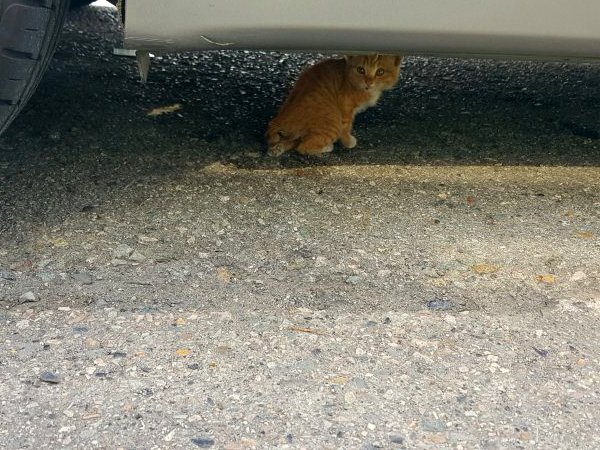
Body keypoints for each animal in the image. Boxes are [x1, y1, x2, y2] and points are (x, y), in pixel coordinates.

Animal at [264, 54, 400, 156]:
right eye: (361, 70)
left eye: (380, 72)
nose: (369, 82)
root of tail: (277, 121)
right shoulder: (346, 107)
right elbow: (346, 127)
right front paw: (348, 142)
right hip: (332, 122)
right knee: (303, 147)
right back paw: (326, 147)